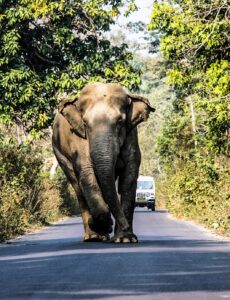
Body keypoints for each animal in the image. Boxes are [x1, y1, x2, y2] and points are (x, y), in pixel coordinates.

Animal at [52, 82, 155, 244]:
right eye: (85, 123)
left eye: (120, 122)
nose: (124, 225)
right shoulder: (78, 137)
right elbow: (87, 173)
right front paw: (104, 225)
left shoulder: (132, 135)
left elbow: (129, 176)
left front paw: (125, 239)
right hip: (59, 153)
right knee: (77, 186)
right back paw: (93, 236)